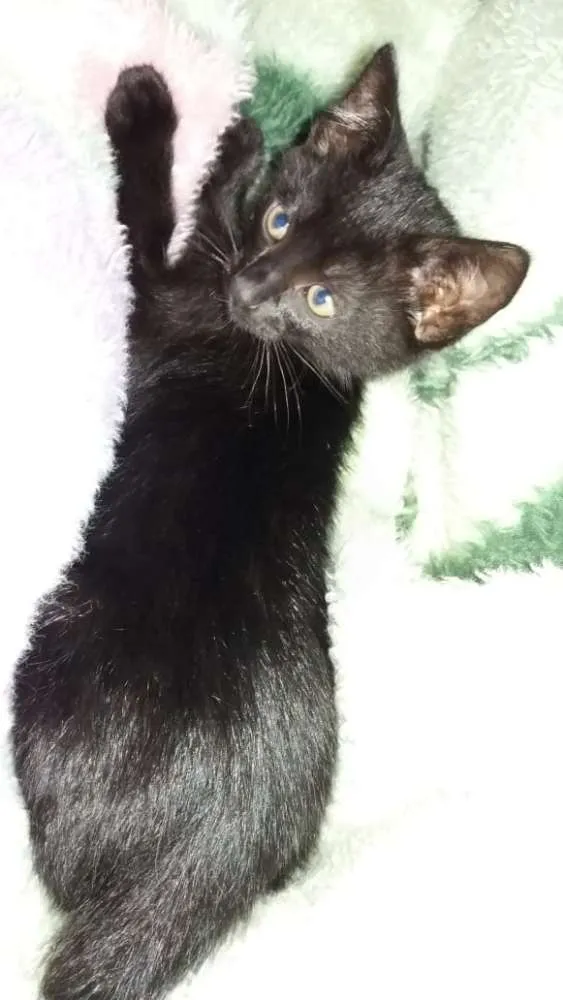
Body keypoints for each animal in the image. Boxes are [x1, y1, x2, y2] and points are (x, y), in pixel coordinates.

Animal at [12, 46, 528, 1000]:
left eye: (322, 300)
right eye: (283, 221)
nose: (251, 287)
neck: (298, 363)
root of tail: (198, 868)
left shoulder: (164, 302)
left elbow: (146, 224)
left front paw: (154, 117)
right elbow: (208, 221)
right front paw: (242, 152)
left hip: (57, 650)